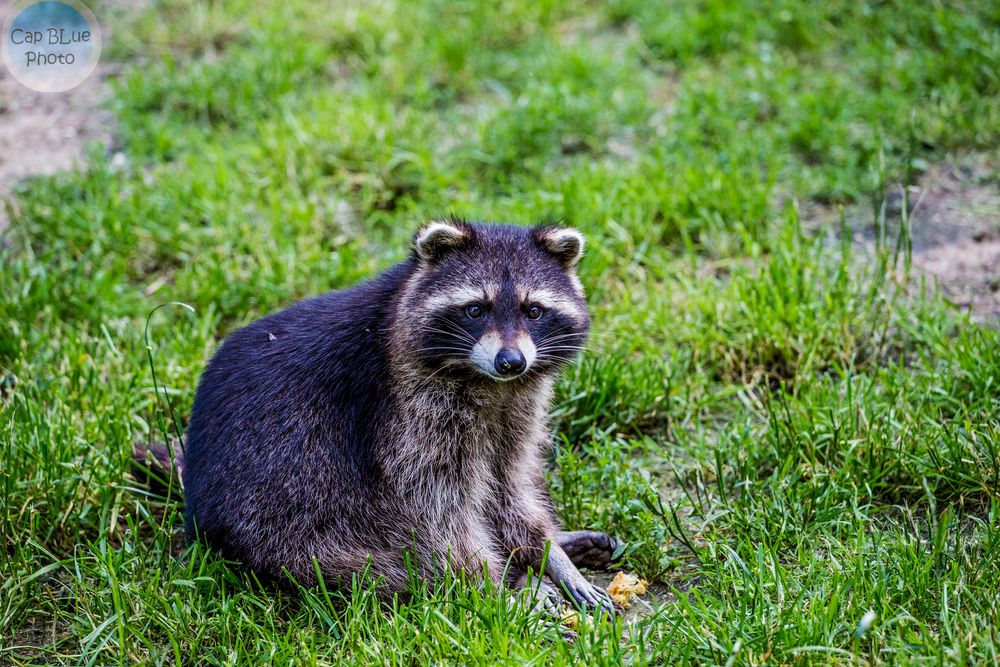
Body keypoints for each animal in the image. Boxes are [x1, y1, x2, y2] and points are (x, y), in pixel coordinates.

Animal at [155, 220, 616, 616]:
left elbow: (508, 485)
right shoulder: (404, 414)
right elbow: (436, 510)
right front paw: (496, 582)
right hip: (282, 529)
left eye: (533, 311)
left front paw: (547, 551)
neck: (487, 382)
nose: (511, 361)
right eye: (475, 310)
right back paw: (515, 582)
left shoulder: (515, 410)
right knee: (386, 567)